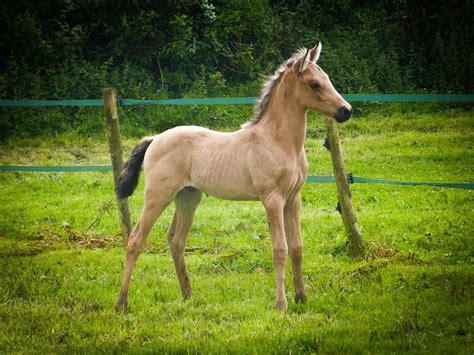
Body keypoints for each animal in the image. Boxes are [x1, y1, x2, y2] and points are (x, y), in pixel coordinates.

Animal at [115, 43, 352, 312]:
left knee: (176, 241)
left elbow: (297, 247)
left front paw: (301, 297)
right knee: (135, 240)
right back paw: (121, 303)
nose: (346, 111)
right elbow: (280, 248)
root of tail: (154, 139)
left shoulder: (293, 199)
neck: (277, 141)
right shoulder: (273, 199)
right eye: (314, 84)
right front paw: (281, 304)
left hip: (187, 198)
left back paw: (188, 295)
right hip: (157, 196)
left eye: (327, 79)